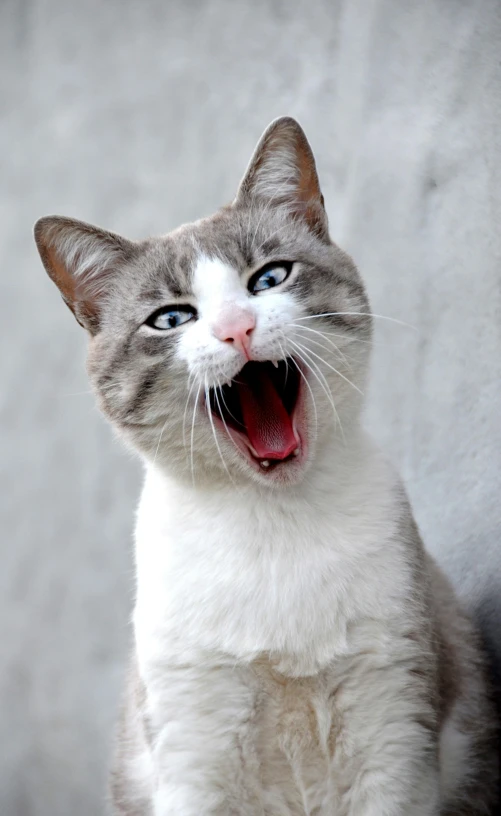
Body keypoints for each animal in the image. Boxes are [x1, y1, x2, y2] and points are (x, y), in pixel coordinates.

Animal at [34, 118, 496, 812]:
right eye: (172, 318)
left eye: (269, 278)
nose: (236, 327)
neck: (272, 521)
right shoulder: (192, 745)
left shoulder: (393, 722)